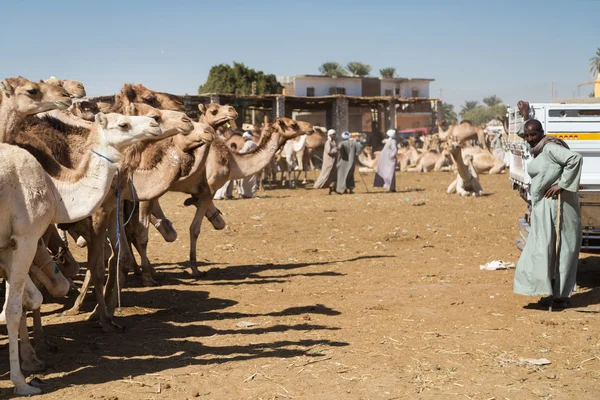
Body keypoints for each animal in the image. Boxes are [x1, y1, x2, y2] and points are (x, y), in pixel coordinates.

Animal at [0, 111, 162, 396]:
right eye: (123, 124)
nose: (155, 122)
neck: (55, 190)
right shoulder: (25, 238)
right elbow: (13, 309)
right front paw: (21, 382)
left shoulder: (7, 245)